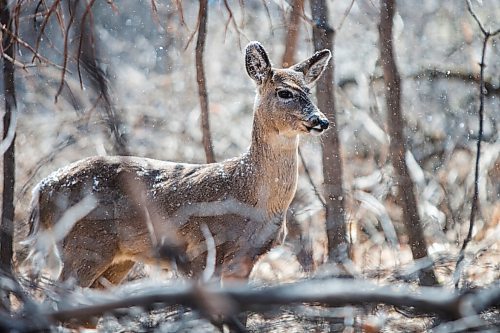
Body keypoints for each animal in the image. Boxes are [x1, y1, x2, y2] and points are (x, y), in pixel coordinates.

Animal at [23, 42, 330, 290]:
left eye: (309, 90)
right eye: (284, 92)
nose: (322, 120)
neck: (250, 193)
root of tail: (42, 189)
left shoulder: (246, 258)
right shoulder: (202, 249)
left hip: (116, 259)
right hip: (83, 245)